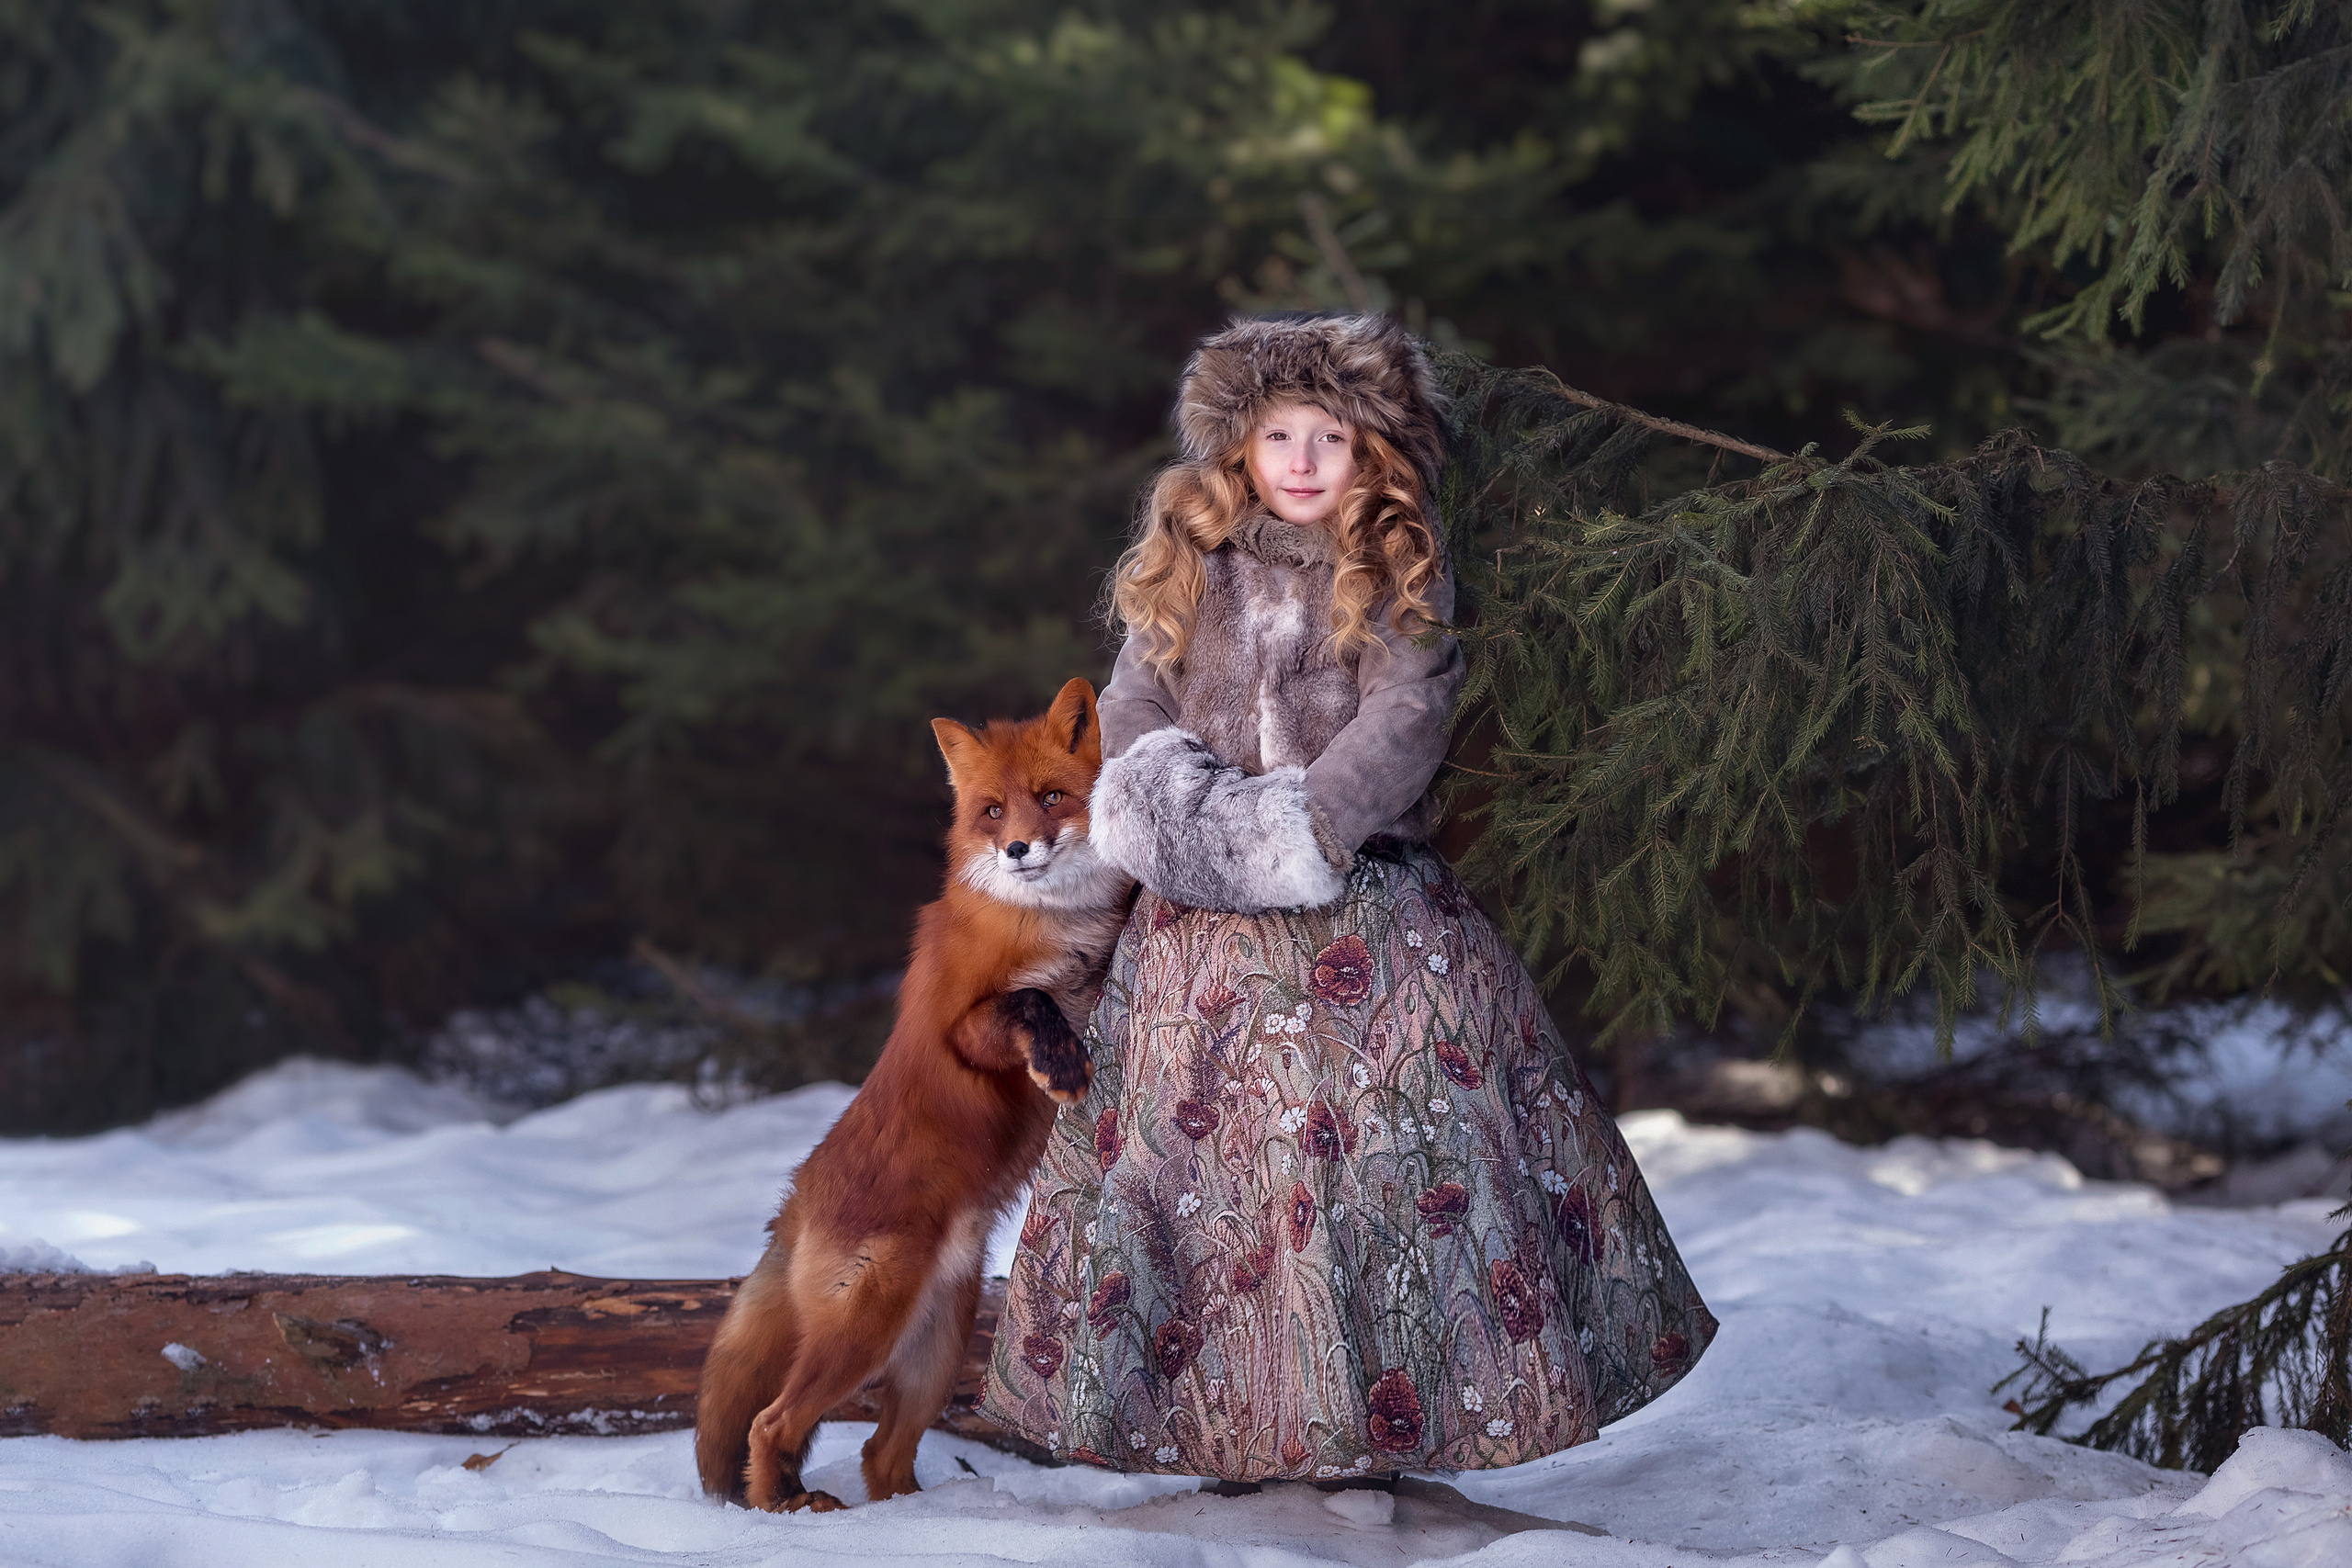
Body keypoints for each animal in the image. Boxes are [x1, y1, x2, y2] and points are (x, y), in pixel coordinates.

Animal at [693, 676, 1133, 1512]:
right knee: (772, 1421)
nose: (1018, 849)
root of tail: (795, 1202)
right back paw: (780, 1506)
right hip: (866, 1331)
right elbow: (1029, 1001)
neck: (1047, 921)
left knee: (880, 1455)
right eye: (992, 811)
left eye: (1050, 797)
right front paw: (1061, 1061)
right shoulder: (965, 1029)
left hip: (938, 1351)